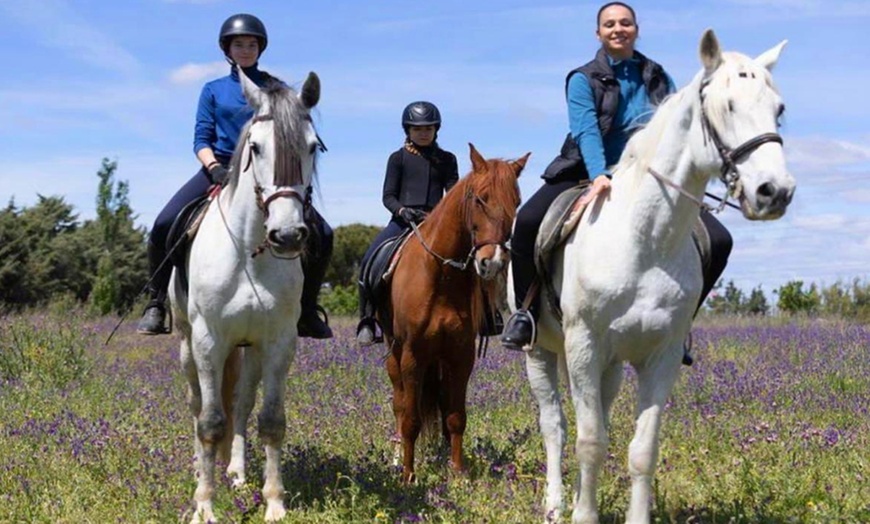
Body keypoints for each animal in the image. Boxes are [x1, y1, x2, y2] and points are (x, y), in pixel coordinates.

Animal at [169, 67, 322, 520]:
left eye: (313, 147)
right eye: (255, 147)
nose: (287, 236)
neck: (249, 253)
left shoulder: (278, 341)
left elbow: (270, 420)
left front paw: (274, 503)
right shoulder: (208, 340)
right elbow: (209, 421)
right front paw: (204, 505)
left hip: (249, 348)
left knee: (240, 403)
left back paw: (235, 473)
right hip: (187, 344)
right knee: (197, 404)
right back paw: (200, 468)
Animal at [384, 144, 532, 484]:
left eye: (516, 202)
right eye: (479, 198)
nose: (492, 261)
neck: (440, 275)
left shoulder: (460, 355)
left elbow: (455, 416)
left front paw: (458, 473)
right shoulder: (413, 355)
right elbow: (411, 418)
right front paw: (409, 476)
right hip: (394, 353)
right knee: (399, 404)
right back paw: (397, 458)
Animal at [508, 30, 800, 520]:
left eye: (778, 109)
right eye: (727, 106)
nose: (774, 192)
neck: (644, 240)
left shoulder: (660, 357)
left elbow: (640, 449)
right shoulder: (583, 346)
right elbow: (589, 441)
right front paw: (582, 514)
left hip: (608, 365)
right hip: (542, 351)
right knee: (554, 424)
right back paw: (555, 504)